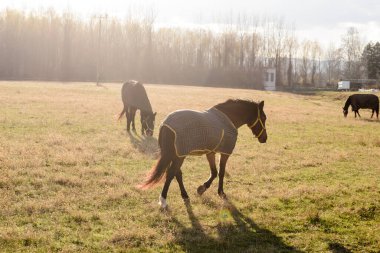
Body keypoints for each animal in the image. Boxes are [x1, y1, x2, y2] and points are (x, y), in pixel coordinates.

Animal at [140, 98, 268, 208]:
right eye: (263, 117)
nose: (264, 138)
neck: (228, 118)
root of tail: (165, 124)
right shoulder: (225, 152)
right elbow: (221, 172)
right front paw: (220, 192)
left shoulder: (210, 152)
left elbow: (214, 172)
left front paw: (201, 189)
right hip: (179, 155)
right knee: (171, 174)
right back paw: (163, 200)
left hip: (176, 154)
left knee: (177, 174)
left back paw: (185, 195)